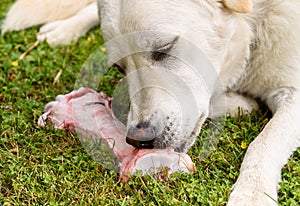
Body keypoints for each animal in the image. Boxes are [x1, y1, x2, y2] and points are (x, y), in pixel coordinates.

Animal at [2, 0, 300, 204]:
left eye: (163, 49)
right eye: (120, 68)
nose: (138, 139)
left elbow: (264, 142)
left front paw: (251, 192)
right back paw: (63, 29)